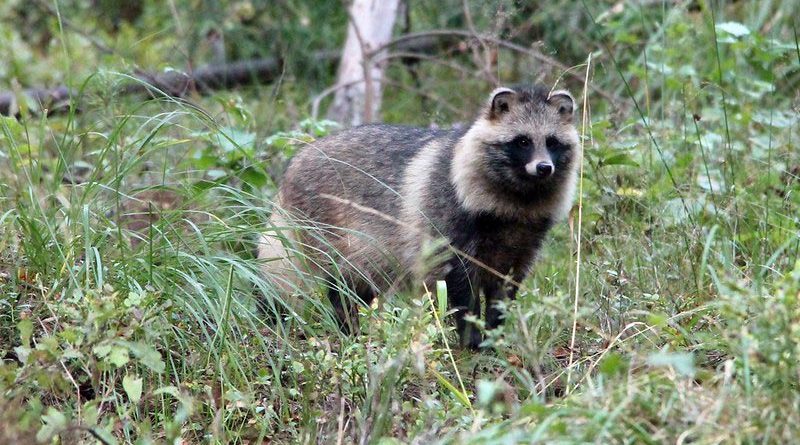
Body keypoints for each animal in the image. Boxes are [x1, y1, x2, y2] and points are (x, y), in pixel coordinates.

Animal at [262, 83, 580, 346]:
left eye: (552, 142)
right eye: (523, 141)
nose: (544, 168)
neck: (518, 198)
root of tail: (295, 164)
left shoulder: (524, 238)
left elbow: (505, 288)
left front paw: (494, 335)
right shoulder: (448, 221)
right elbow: (459, 284)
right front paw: (471, 338)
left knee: (361, 282)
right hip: (333, 226)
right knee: (342, 282)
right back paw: (348, 325)